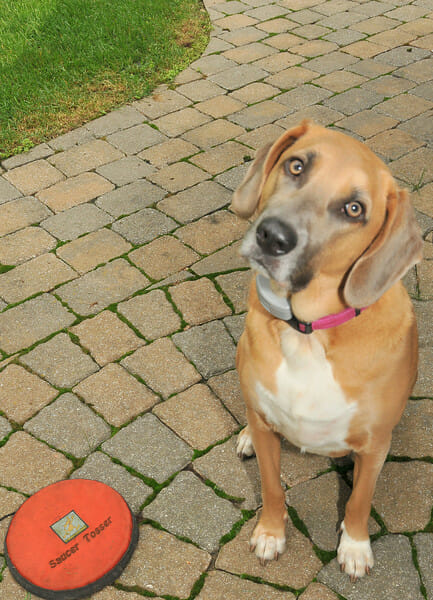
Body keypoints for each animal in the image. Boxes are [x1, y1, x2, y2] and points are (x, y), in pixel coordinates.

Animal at [231, 120, 422, 581]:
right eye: (296, 165)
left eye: (354, 209)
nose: (272, 236)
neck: (308, 331)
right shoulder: (267, 431)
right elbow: (271, 487)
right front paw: (270, 533)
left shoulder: (374, 447)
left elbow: (359, 501)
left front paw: (354, 547)